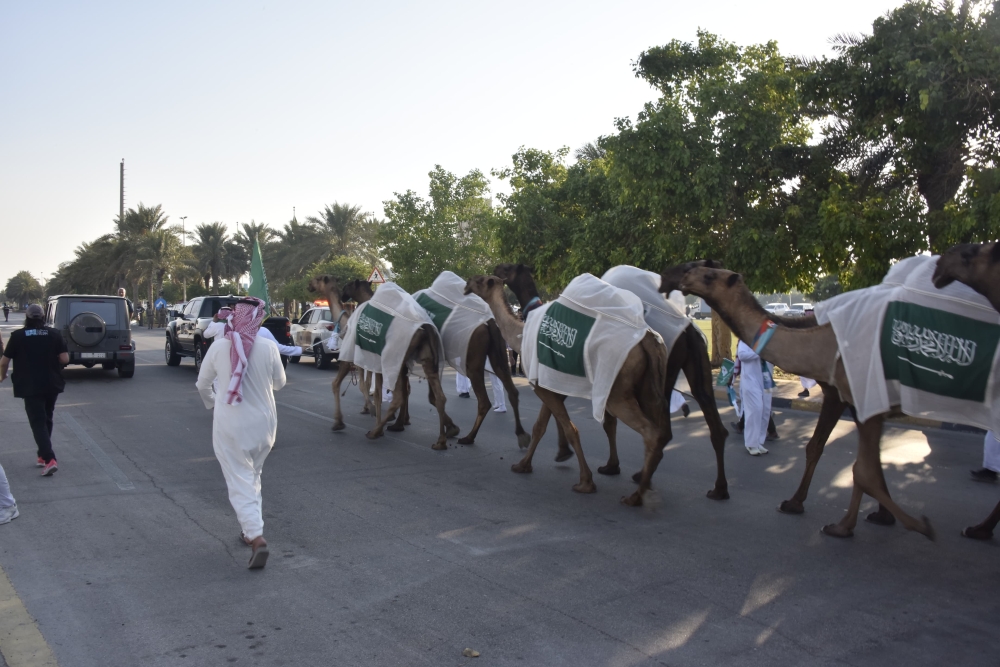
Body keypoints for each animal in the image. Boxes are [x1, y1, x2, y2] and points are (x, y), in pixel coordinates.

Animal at [306, 274, 374, 414]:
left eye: (318, 279)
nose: (309, 285)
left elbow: (363, 385)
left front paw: (369, 407)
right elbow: (367, 383)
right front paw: (367, 407)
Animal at [336, 280, 460, 452]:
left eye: (347, 285)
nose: (342, 295)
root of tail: (425, 327)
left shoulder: (380, 362)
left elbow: (376, 391)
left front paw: (379, 419)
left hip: (398, 361)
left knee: (399, 395)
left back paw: (375, 432)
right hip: (427, 360)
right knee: (439, 396)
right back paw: (441, 440)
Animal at [468, 272, 712, 506]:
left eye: (481, 280)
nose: (468, 283)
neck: (522, 333)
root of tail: (648, 339)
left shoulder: (543, 387)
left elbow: (571, 430)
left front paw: (585, 482)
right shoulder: (549, 385)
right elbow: (540, 427)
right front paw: (523, 465)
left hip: (617, 392)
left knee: (650, 432)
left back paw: (635, 497)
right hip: (649, 386)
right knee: (661, 430)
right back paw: (641, 481)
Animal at [664, 260, 936, 544]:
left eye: (708, 274)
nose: (680, 276)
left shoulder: (846, 394)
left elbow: (837, 455)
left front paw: (801, 506)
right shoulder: (853, 398)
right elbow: (854, 457)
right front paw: (877, 516)